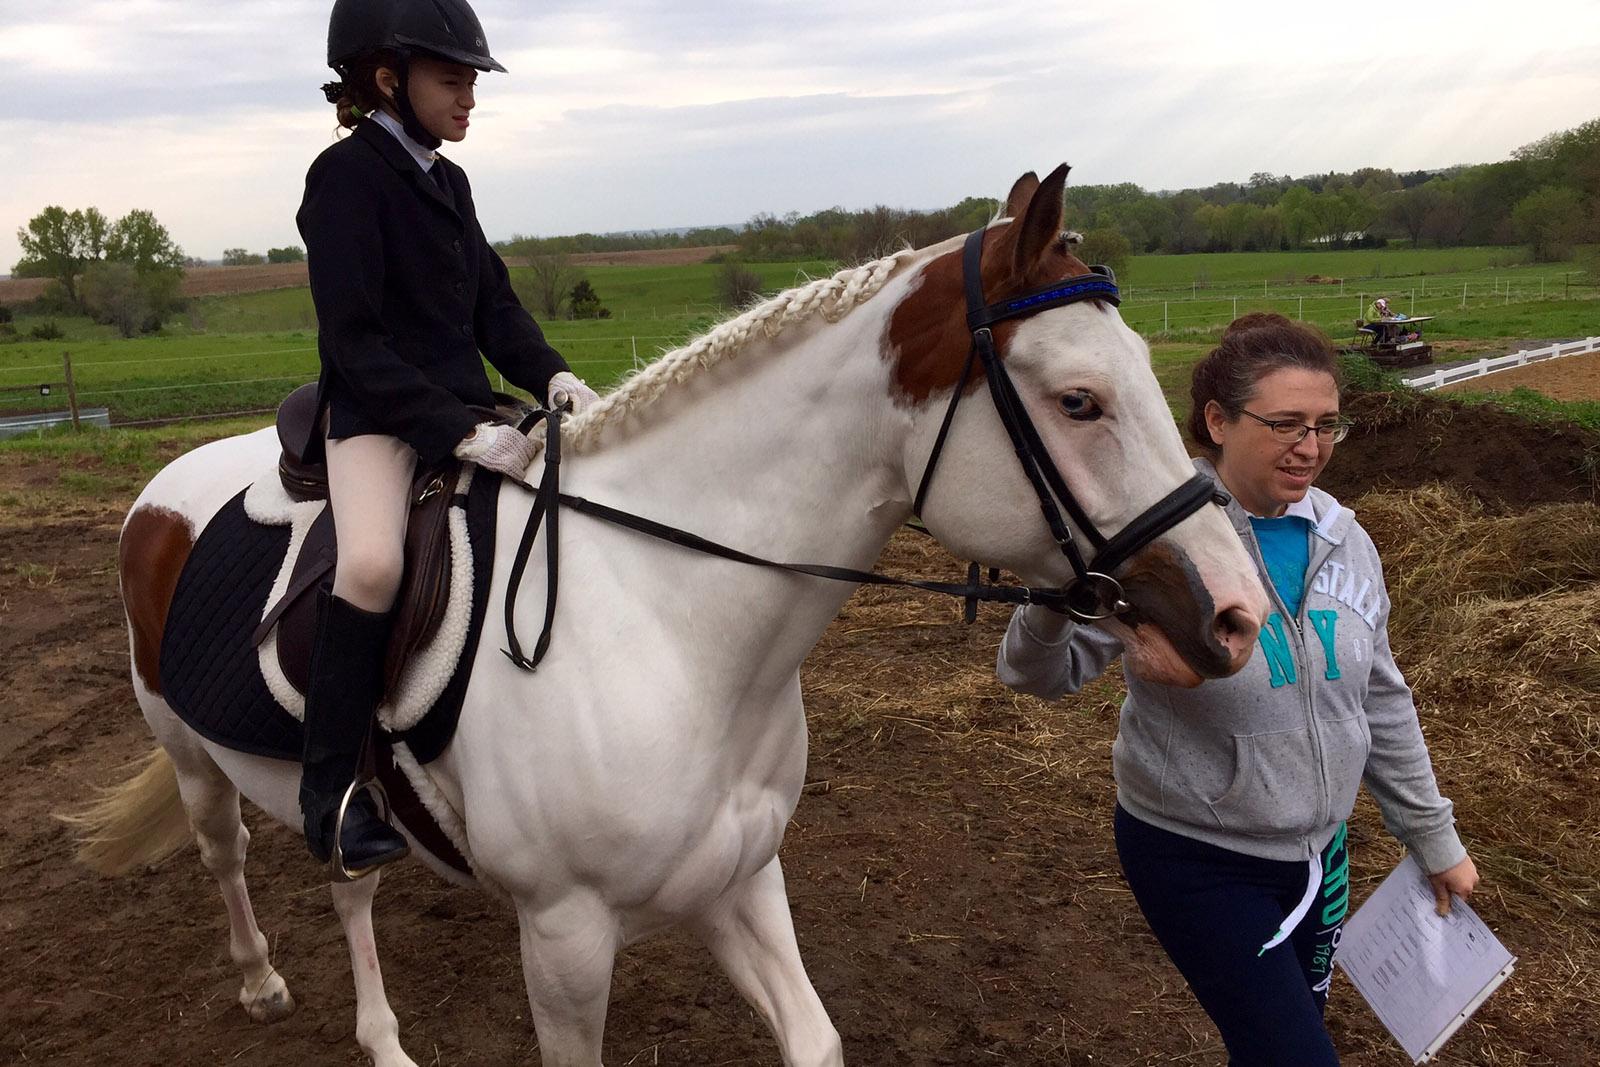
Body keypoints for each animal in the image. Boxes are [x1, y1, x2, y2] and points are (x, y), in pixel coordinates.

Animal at [81, 168, 1267, 1067]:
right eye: (1079, 401)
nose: (1237, 612)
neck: (668, 626)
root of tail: (165, 488)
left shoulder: (739, 878)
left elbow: (814, 1038)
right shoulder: (563, 935)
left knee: (352, 882)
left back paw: (383, 1038)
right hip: (190, 752)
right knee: (227, 852)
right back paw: (263, 982)